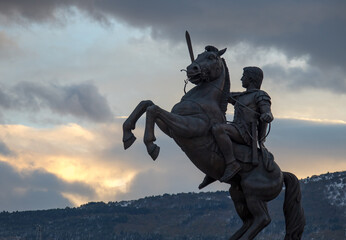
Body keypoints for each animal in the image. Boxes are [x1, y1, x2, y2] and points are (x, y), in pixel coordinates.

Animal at [123, 45, 304, 240]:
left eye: (211, 57)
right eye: (199, 55)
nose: (192, 69)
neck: (202, 101)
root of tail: (281, 173)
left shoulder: (188, 127)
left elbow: (153, 109)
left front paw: (151, 145)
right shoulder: (170, 128)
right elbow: (146, 104)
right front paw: (127, 134)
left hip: (253, 195)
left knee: (262, 219)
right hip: (237, 193)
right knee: (248, 220)